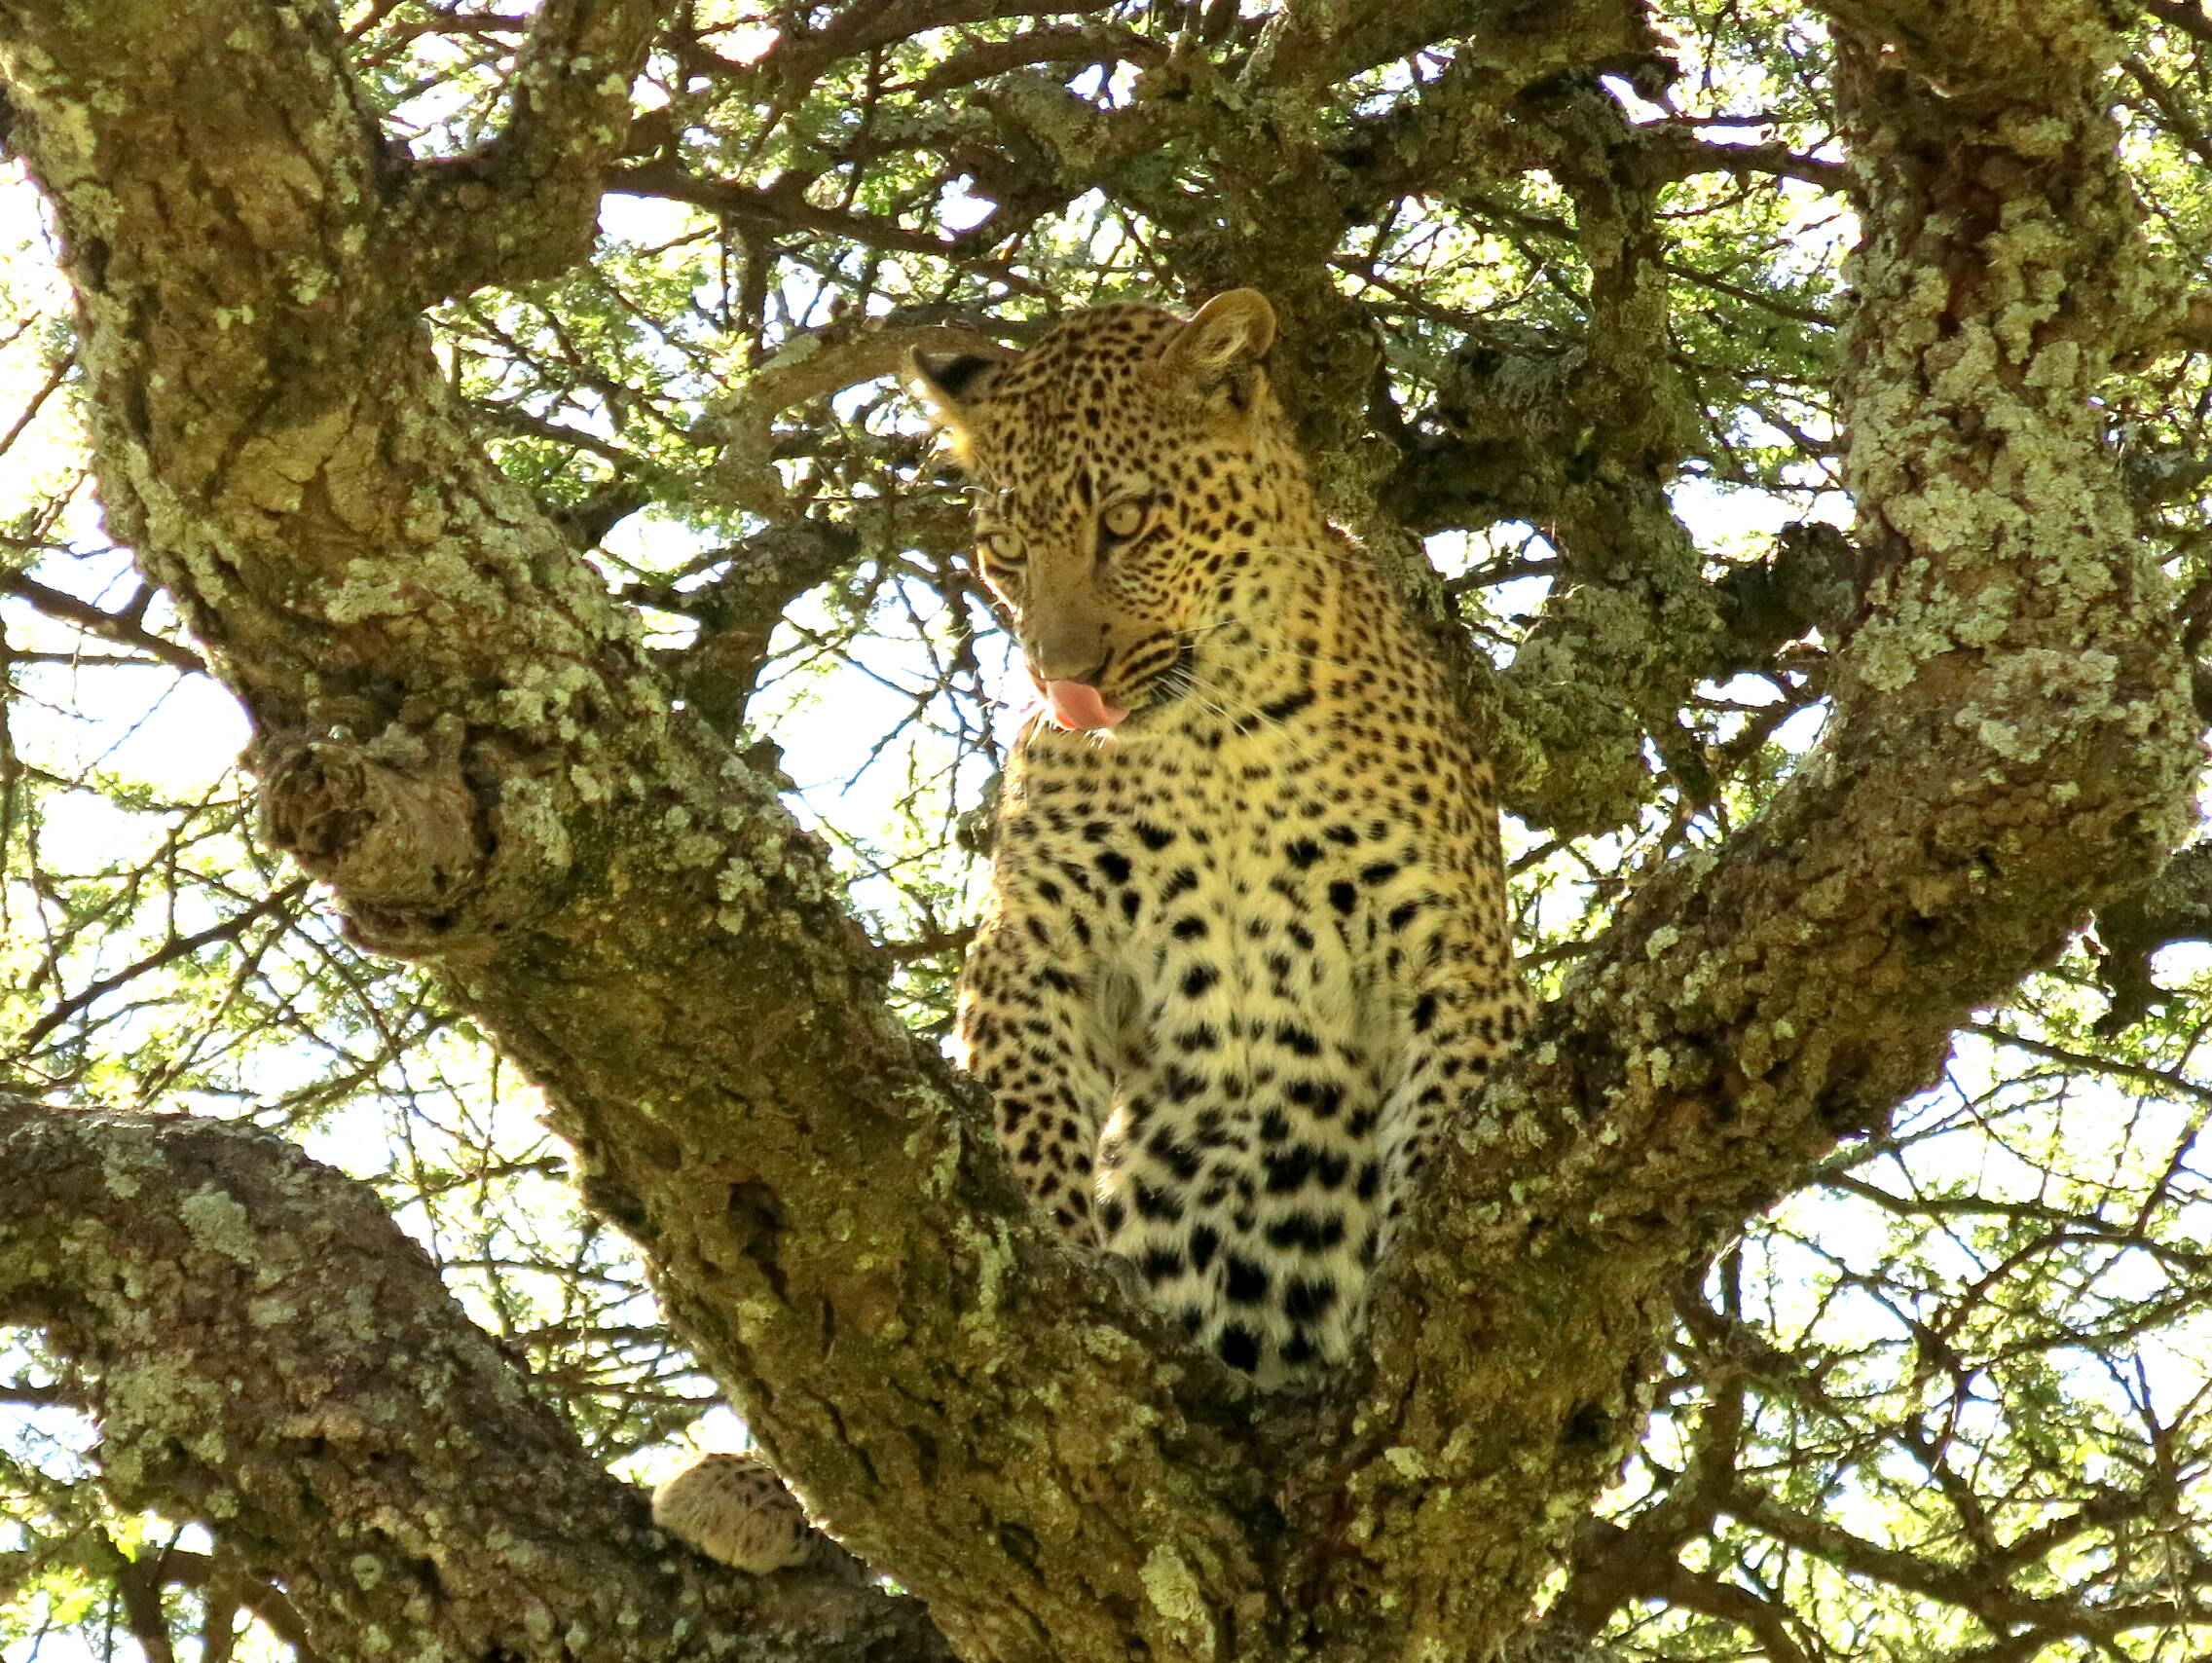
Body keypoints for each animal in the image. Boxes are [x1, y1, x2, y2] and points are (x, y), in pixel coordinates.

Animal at [909, 289, 1531, 1388]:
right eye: (1005, 552)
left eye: (1124, 522)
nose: (1063, 682)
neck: (1214, 734)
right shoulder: (1037, 937)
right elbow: (1027, 1115)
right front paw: (1070, 1254)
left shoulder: (1445, 950)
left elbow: (1441, 1132)